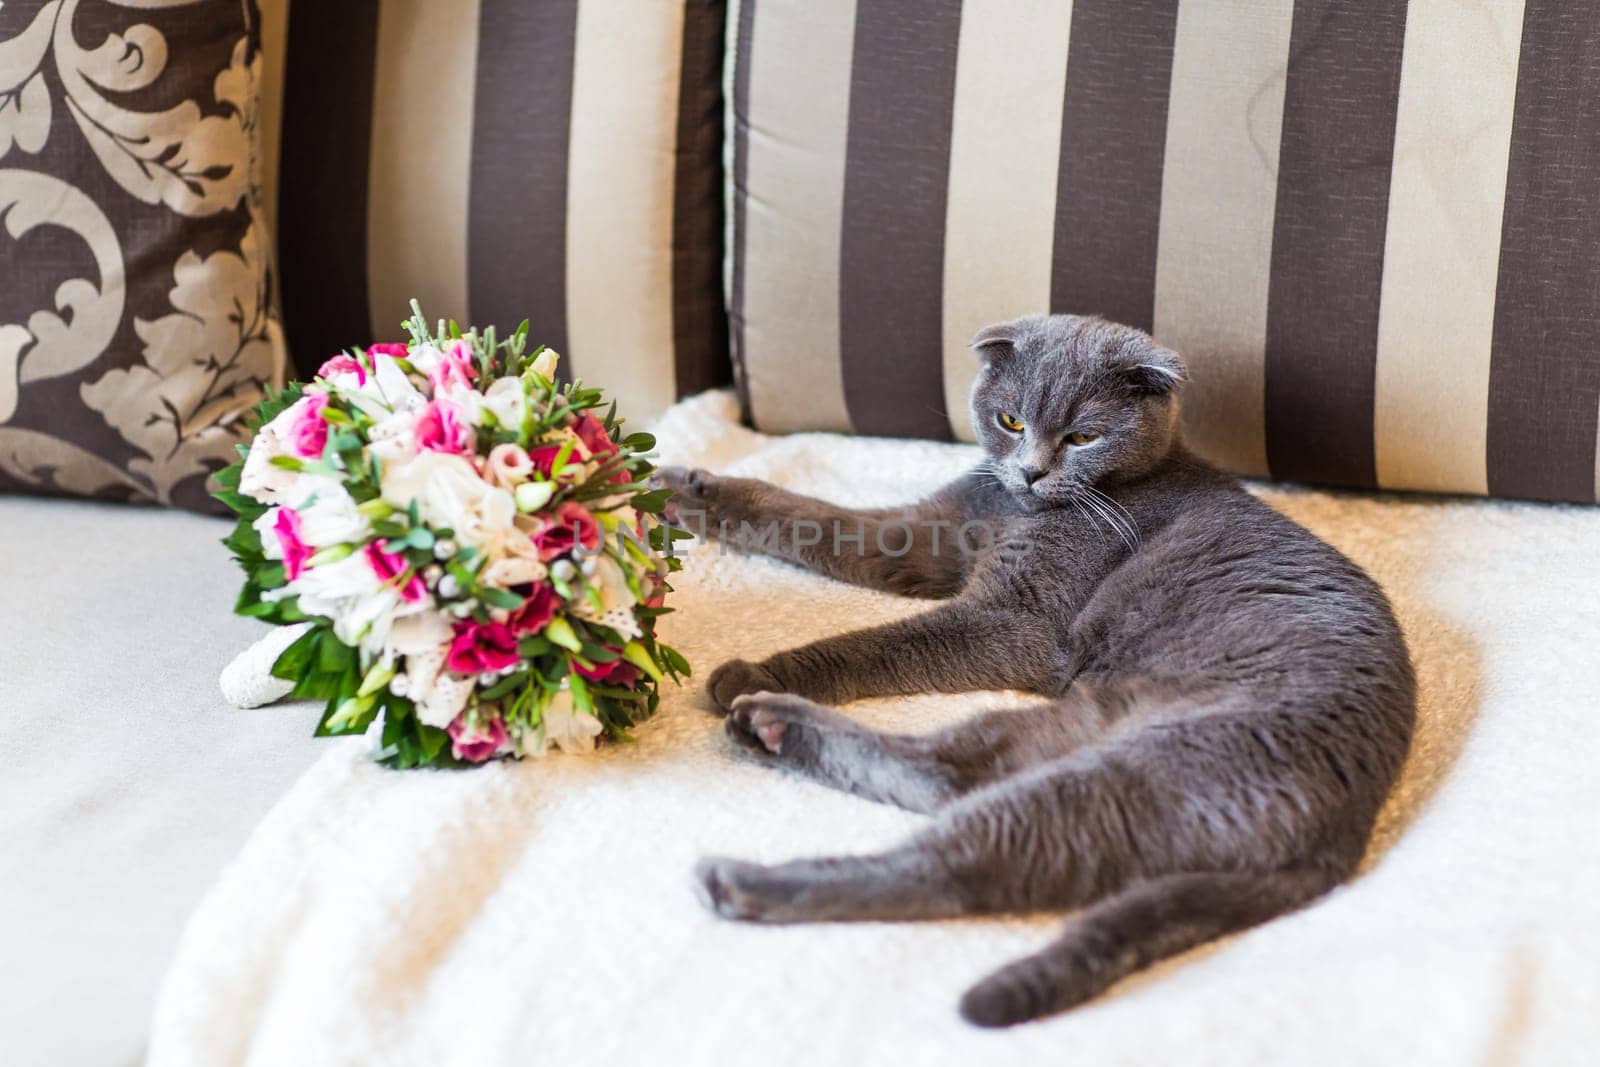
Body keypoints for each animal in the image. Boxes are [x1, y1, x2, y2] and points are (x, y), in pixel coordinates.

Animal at [649, 315, 1414, 1023]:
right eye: (1010, 420)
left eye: (1081, 437)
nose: (1032, 469)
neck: (1014, 507)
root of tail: (1341, 838)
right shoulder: (919, 539)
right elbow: (809, 517)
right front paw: (681, 490)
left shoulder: (1018, 621)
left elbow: (879, 642)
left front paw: (754, 668)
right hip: (1073, 723)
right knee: (952, 775)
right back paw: (769, 730)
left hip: (1144, 772)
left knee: (959, 854)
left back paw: (742, 867)